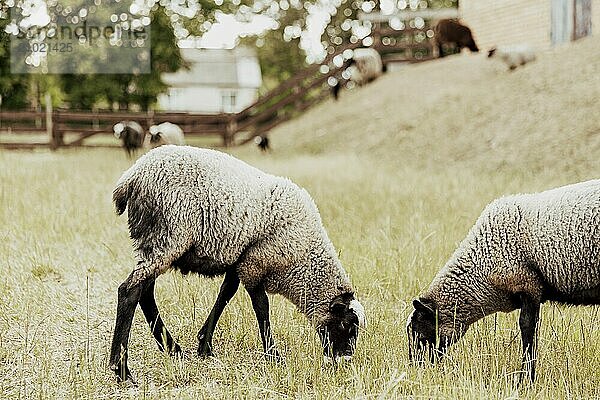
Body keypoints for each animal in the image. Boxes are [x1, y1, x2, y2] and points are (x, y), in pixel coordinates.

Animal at [110, 145, 368, 382]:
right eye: (347, 325)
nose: (344, 360)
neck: (303, 258)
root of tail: (132, 177)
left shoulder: (241, 260)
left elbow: (226, 293)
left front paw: (205, 345)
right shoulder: (256, 264)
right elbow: (261, 308)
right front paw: (273, 356)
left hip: (157, 245)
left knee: (145, 292)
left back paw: (172, 348)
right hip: (167, 239)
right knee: (129, 291)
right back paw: (122, 370)